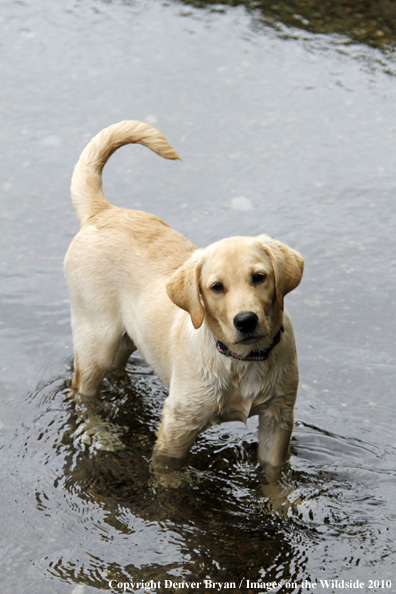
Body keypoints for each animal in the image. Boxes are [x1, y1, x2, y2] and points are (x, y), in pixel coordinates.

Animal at [65, 121, 304, 476]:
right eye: (216, 287)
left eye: (259, 277)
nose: (246, 321)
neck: (242, 360)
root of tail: (103, 211)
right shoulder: (178, 426)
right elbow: (168, 475)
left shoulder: (278, 418)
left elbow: (273, 474)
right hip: (97, 339)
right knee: (83, 392)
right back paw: (102, 435)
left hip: (127, 336)